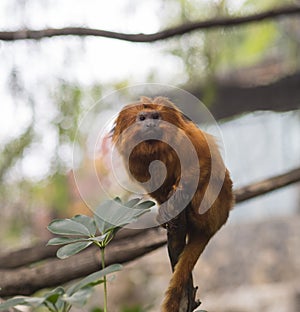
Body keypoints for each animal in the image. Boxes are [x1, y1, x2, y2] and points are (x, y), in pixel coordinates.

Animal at [111, 96, 233, 310]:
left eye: (155, 116)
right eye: (142, 118)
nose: (150, 124)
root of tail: (219, 222)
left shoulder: (190, 138)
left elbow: (205, 160)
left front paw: (178, 190)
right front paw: (163, 211)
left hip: (217, 204)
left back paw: (191, 211)